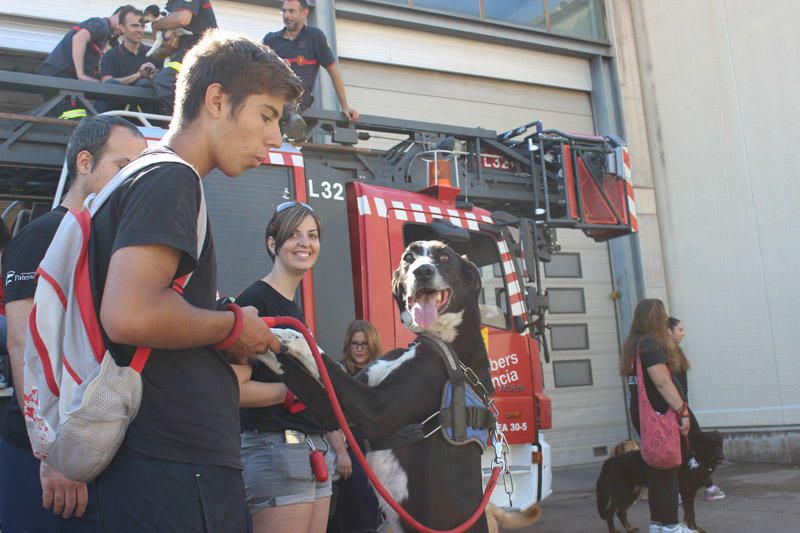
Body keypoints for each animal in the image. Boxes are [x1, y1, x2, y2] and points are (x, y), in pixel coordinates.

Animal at [264, 241, 494, 532]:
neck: (440, 342)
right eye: (409, 257)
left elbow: (303, 339)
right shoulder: (331, 407)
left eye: (444, 258)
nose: (423, 271)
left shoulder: (374, 410)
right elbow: (290, 362)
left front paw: (279, 332)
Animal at [592, 426, 724, 532]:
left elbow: (690, 514)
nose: (722, 457)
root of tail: (612, 460)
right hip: (623, 492)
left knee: (621, 512)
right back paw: (614, 530)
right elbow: (690, 514)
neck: (696, 457)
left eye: (720, 444)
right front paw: (694, 529)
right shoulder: (686, 493)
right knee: (610, 513)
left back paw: (629, 529)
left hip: (632, 492)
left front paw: (693, 528)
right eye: (711, 445)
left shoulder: (690, 493)